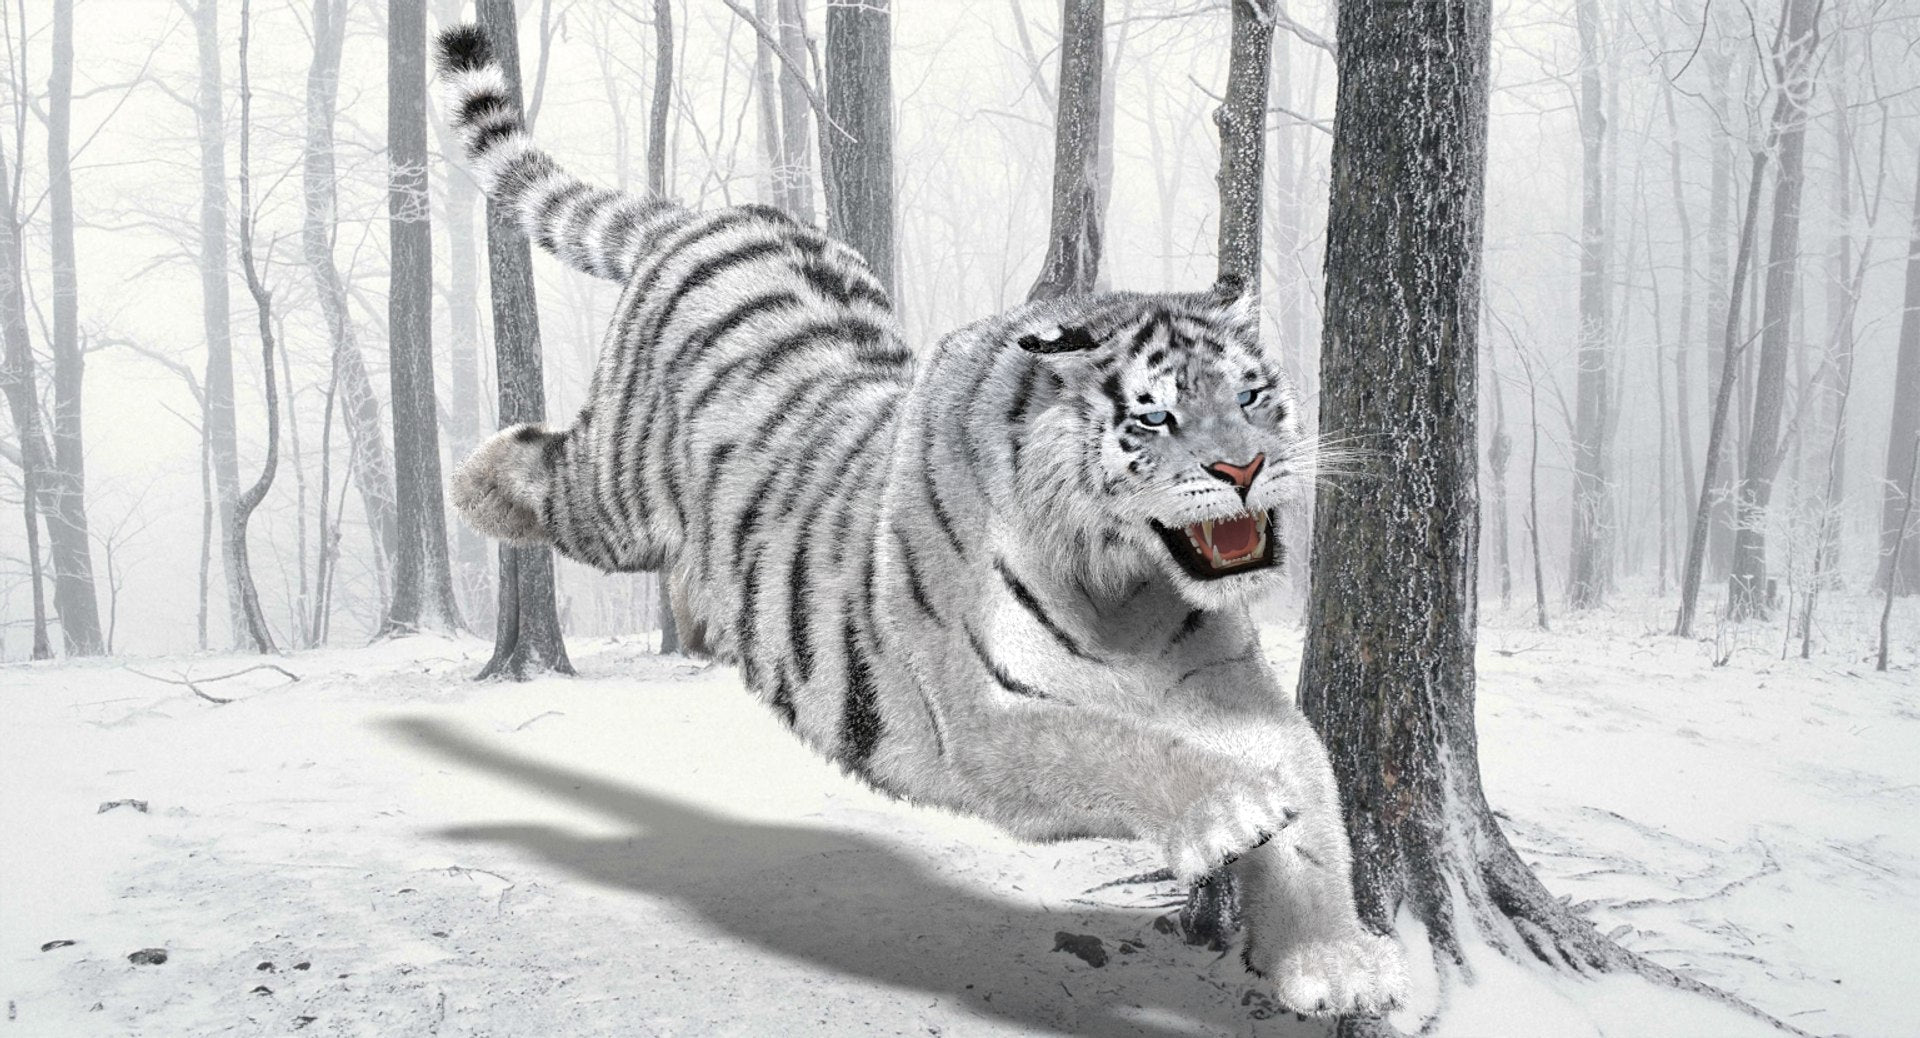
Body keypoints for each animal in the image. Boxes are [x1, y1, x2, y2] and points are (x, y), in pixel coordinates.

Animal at [436, 24, 1407, 1018]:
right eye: (1154, 419)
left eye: (1251, 397)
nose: (1243, 469)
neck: (1126, 587)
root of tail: (713, 216)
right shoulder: (977, 720)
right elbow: (1110, 744)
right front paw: (1231, 812)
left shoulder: (1231, 688)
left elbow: (1315, 798)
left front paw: (1336, 959)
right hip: (619, 492)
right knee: (553, 470)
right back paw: (471, 482)